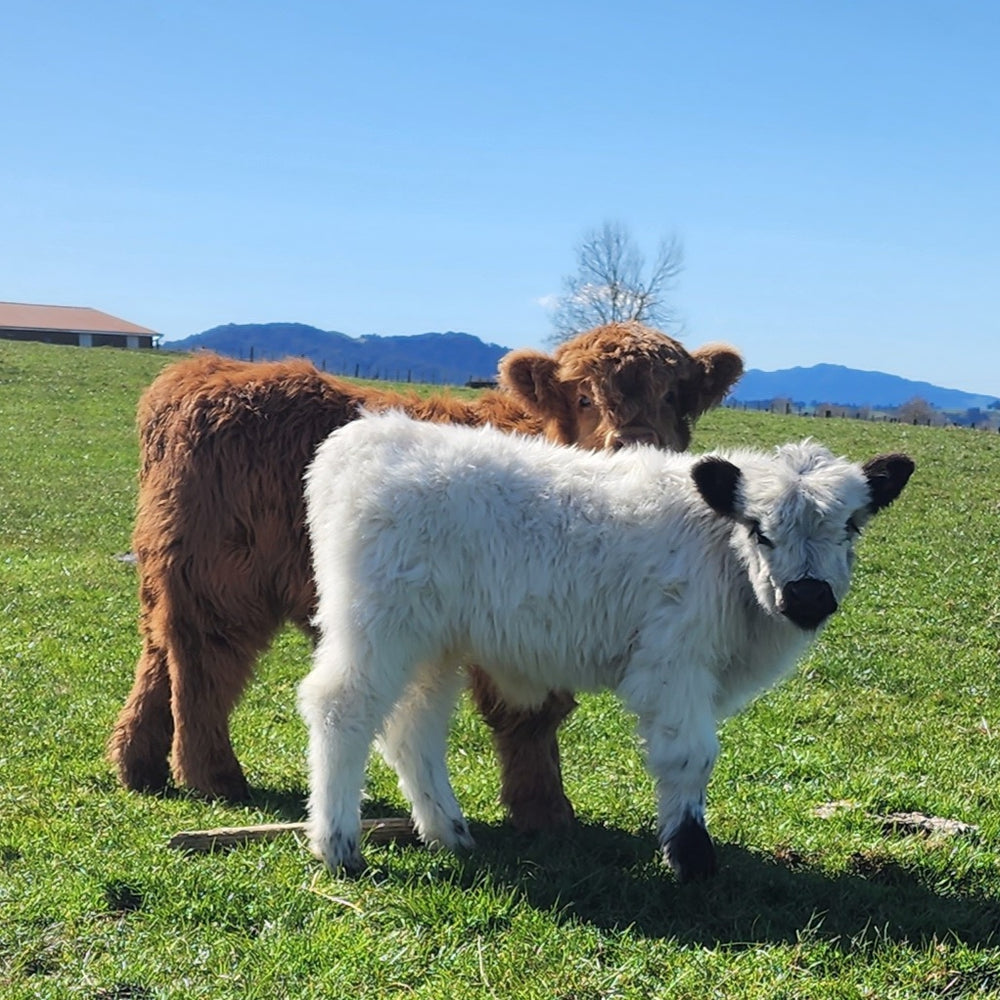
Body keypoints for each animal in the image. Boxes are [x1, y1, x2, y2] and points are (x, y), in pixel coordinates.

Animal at [108, 322, 743, 830]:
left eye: (673, 397)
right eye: (585, 396)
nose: (634, 442)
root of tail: (200, 372)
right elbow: (529, 715)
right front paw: (545, 811)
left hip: (172, 574)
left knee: (158, 657)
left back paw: (137, 766)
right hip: (220, 582)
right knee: (201, 667)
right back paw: (212, 776)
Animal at [299, 411, 913, 879]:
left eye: (852, 526)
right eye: (759, 530)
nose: (807, 596)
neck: (721, 555)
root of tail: (367, 437)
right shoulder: (672, 664)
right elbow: (690, 757)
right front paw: (692, 860)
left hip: (432, 645)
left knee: (413, 728)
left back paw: (448, 831)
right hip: (375, 626)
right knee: (342, 708)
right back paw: (337, 844)